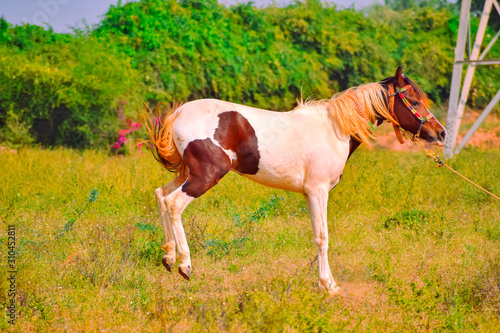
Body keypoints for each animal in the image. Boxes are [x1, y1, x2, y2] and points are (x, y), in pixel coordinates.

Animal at [144, 66, 446, 294]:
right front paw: (328, 286)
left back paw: (168, 256)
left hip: (187, 174)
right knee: (174, 204)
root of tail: (178, 113)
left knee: (160, 195)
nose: (441, 133)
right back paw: (185, 264)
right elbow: (322, 237)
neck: (334, 127)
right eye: (414, 102)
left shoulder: (310, 194)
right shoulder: (318, 191)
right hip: (205, 176)